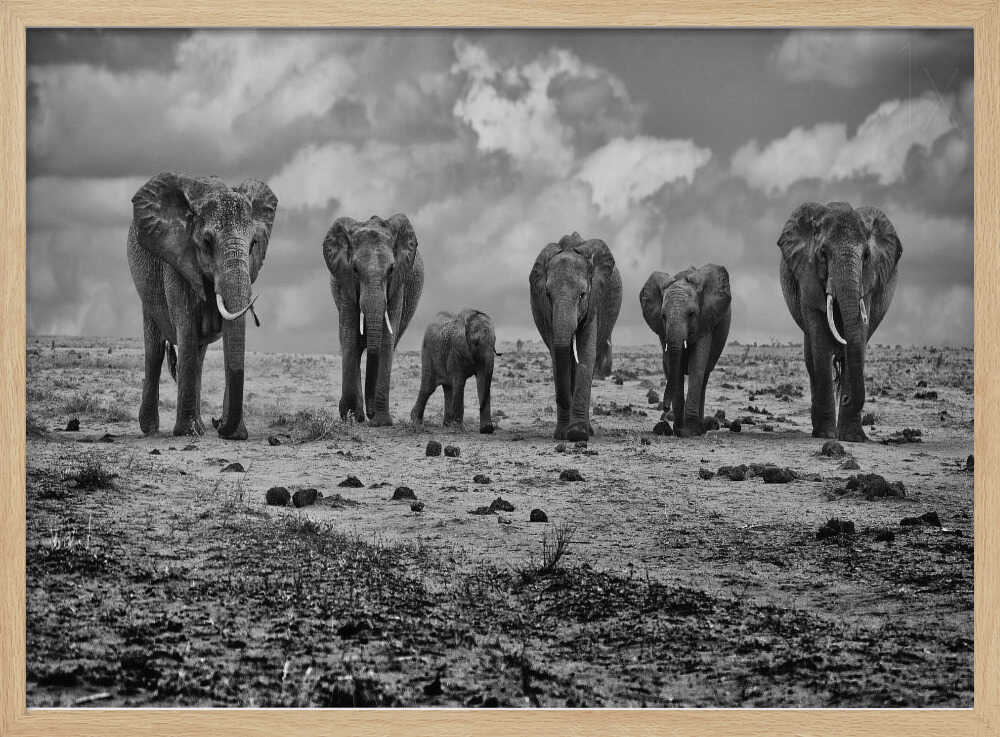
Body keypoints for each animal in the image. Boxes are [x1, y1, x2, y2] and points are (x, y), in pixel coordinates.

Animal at [127, 172, 277, 439]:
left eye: (253, 245)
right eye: (207, 243)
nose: (218, 422)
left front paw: (234, 434)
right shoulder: (177, 260)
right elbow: (186, 330)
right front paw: (187, 432)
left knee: (198, 355)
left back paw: (200, 427)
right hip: (146, 290)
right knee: (155, 350)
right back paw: (152, 429)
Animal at [323, 214, 424, 426]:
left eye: (391, 269)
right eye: (354, 269)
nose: (370, 414)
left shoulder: (398, 284)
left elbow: (386, 340)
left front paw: (382, 423)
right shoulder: (345, 282)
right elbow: (349, 337)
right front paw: (351, 415)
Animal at [529, 232, 622, 441]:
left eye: (582, 295)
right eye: (548, 295)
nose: (565, 400)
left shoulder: (595, 299)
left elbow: (586, 352)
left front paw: (578, 434)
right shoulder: (545, 311)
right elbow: (558, 355)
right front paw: (563, 435)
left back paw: (587, 430)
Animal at [640, 265, 731, 437]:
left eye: (691, 314)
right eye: (663, 316)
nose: (665, 408)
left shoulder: (705, 320)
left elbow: (697, 363)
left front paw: (689, 432)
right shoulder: (663, 330)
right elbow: (672, 365)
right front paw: (678, 429)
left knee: (704, 376)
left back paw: (701, 428)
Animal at [778, 201, 902, 442]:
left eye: (866, 256)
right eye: (823, 254)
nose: (845, 399)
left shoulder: (869, 282)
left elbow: (860, 331)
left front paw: (852, 438)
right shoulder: (807, 275)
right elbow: (820, 343)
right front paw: (826, 434)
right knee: (812, 360)